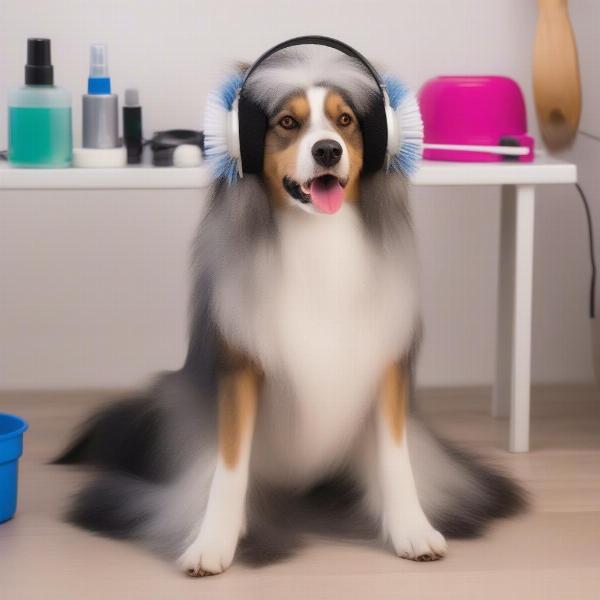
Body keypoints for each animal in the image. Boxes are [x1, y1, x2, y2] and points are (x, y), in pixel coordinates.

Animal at [56, 38, 524, 576]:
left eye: (345, 121)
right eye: (286, 122)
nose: (327, 150)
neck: (317, 237)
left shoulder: (386, 365)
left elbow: (395, 456)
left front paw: (411, 529)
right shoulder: (239, 368)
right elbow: (229, 465)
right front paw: (213, 542)